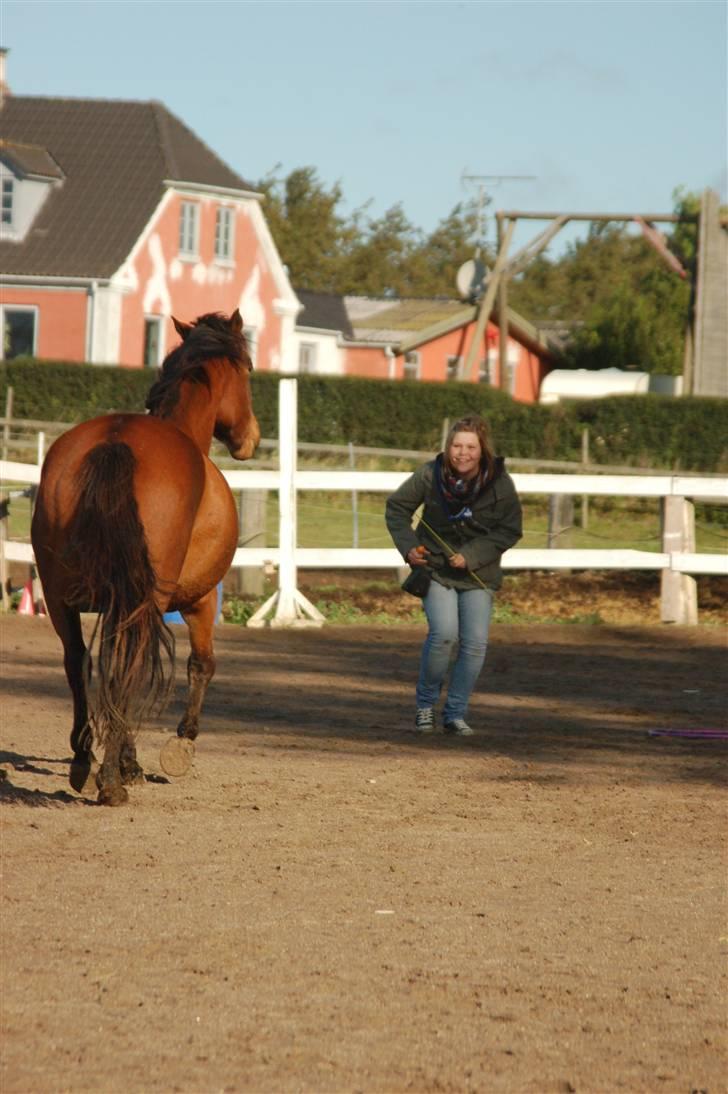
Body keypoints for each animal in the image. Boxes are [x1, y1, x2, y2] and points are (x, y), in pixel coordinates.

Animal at [31, 308, 259, 805]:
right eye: (249, 370)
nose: (250, 438)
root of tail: (116, 441)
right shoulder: (201, 601)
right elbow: (202, 664)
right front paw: (175, 747)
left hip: (60, 598)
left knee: (79, 660)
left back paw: (84, 760)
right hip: (143, 600)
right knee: (128, 664)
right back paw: (112, 781)